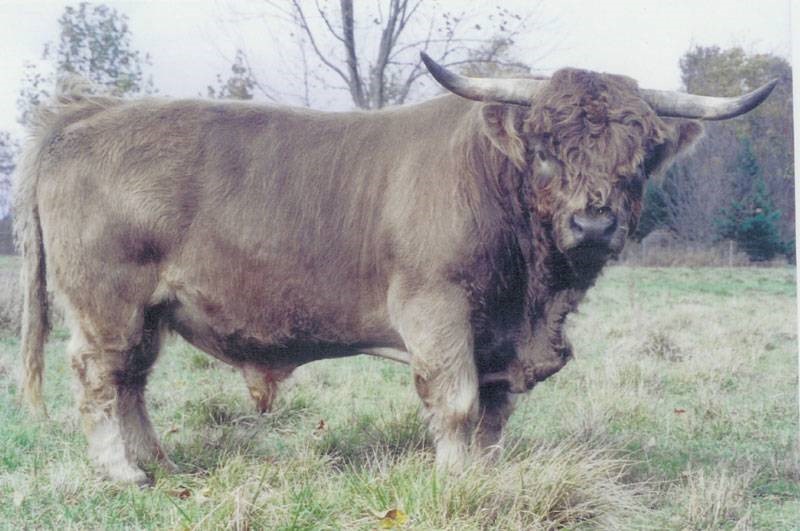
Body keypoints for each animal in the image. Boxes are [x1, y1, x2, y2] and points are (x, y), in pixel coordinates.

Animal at [14, 52, 776, 484]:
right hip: (106, 304)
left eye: (637, 156)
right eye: (544, 151)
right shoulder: (437, 310)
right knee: (99, 380)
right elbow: (459, 403)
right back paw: (122, 473)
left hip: (148, 313)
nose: (594, 224)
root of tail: (84, 115)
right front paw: (455, 481)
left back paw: (158, 462)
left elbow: (494, 414)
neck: (532, 296)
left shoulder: (497, 338)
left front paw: (486, 478)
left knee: (133, 383)